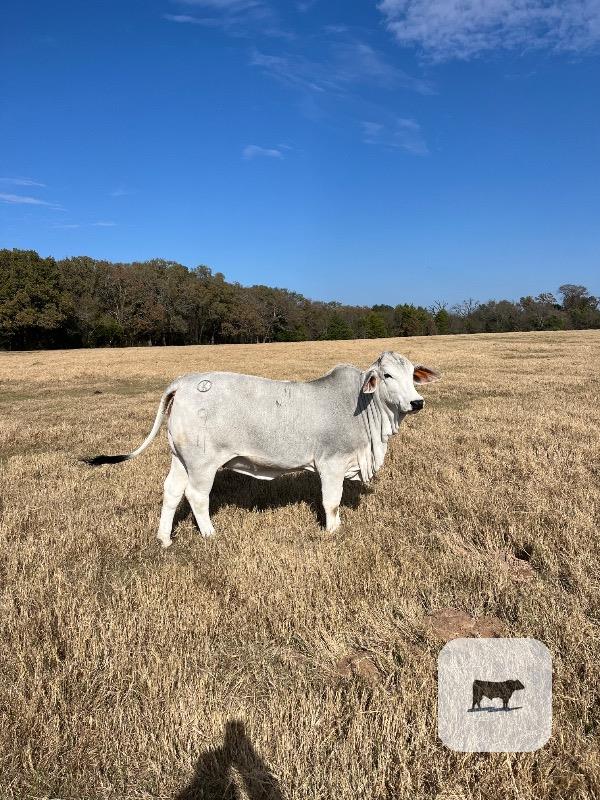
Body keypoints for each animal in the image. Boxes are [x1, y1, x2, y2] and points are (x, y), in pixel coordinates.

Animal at [83, 351, 440, 547]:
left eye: (413, 375)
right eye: (387, 375)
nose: (417, 402)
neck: (363, 407)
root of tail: (184, 382)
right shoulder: (331, 463)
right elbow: (332, 501)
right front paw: (333, 532)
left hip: (179, 457)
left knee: (171, 491)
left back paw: (165, 538)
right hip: (202, 462)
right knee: (196, 496)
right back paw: (210, 534)